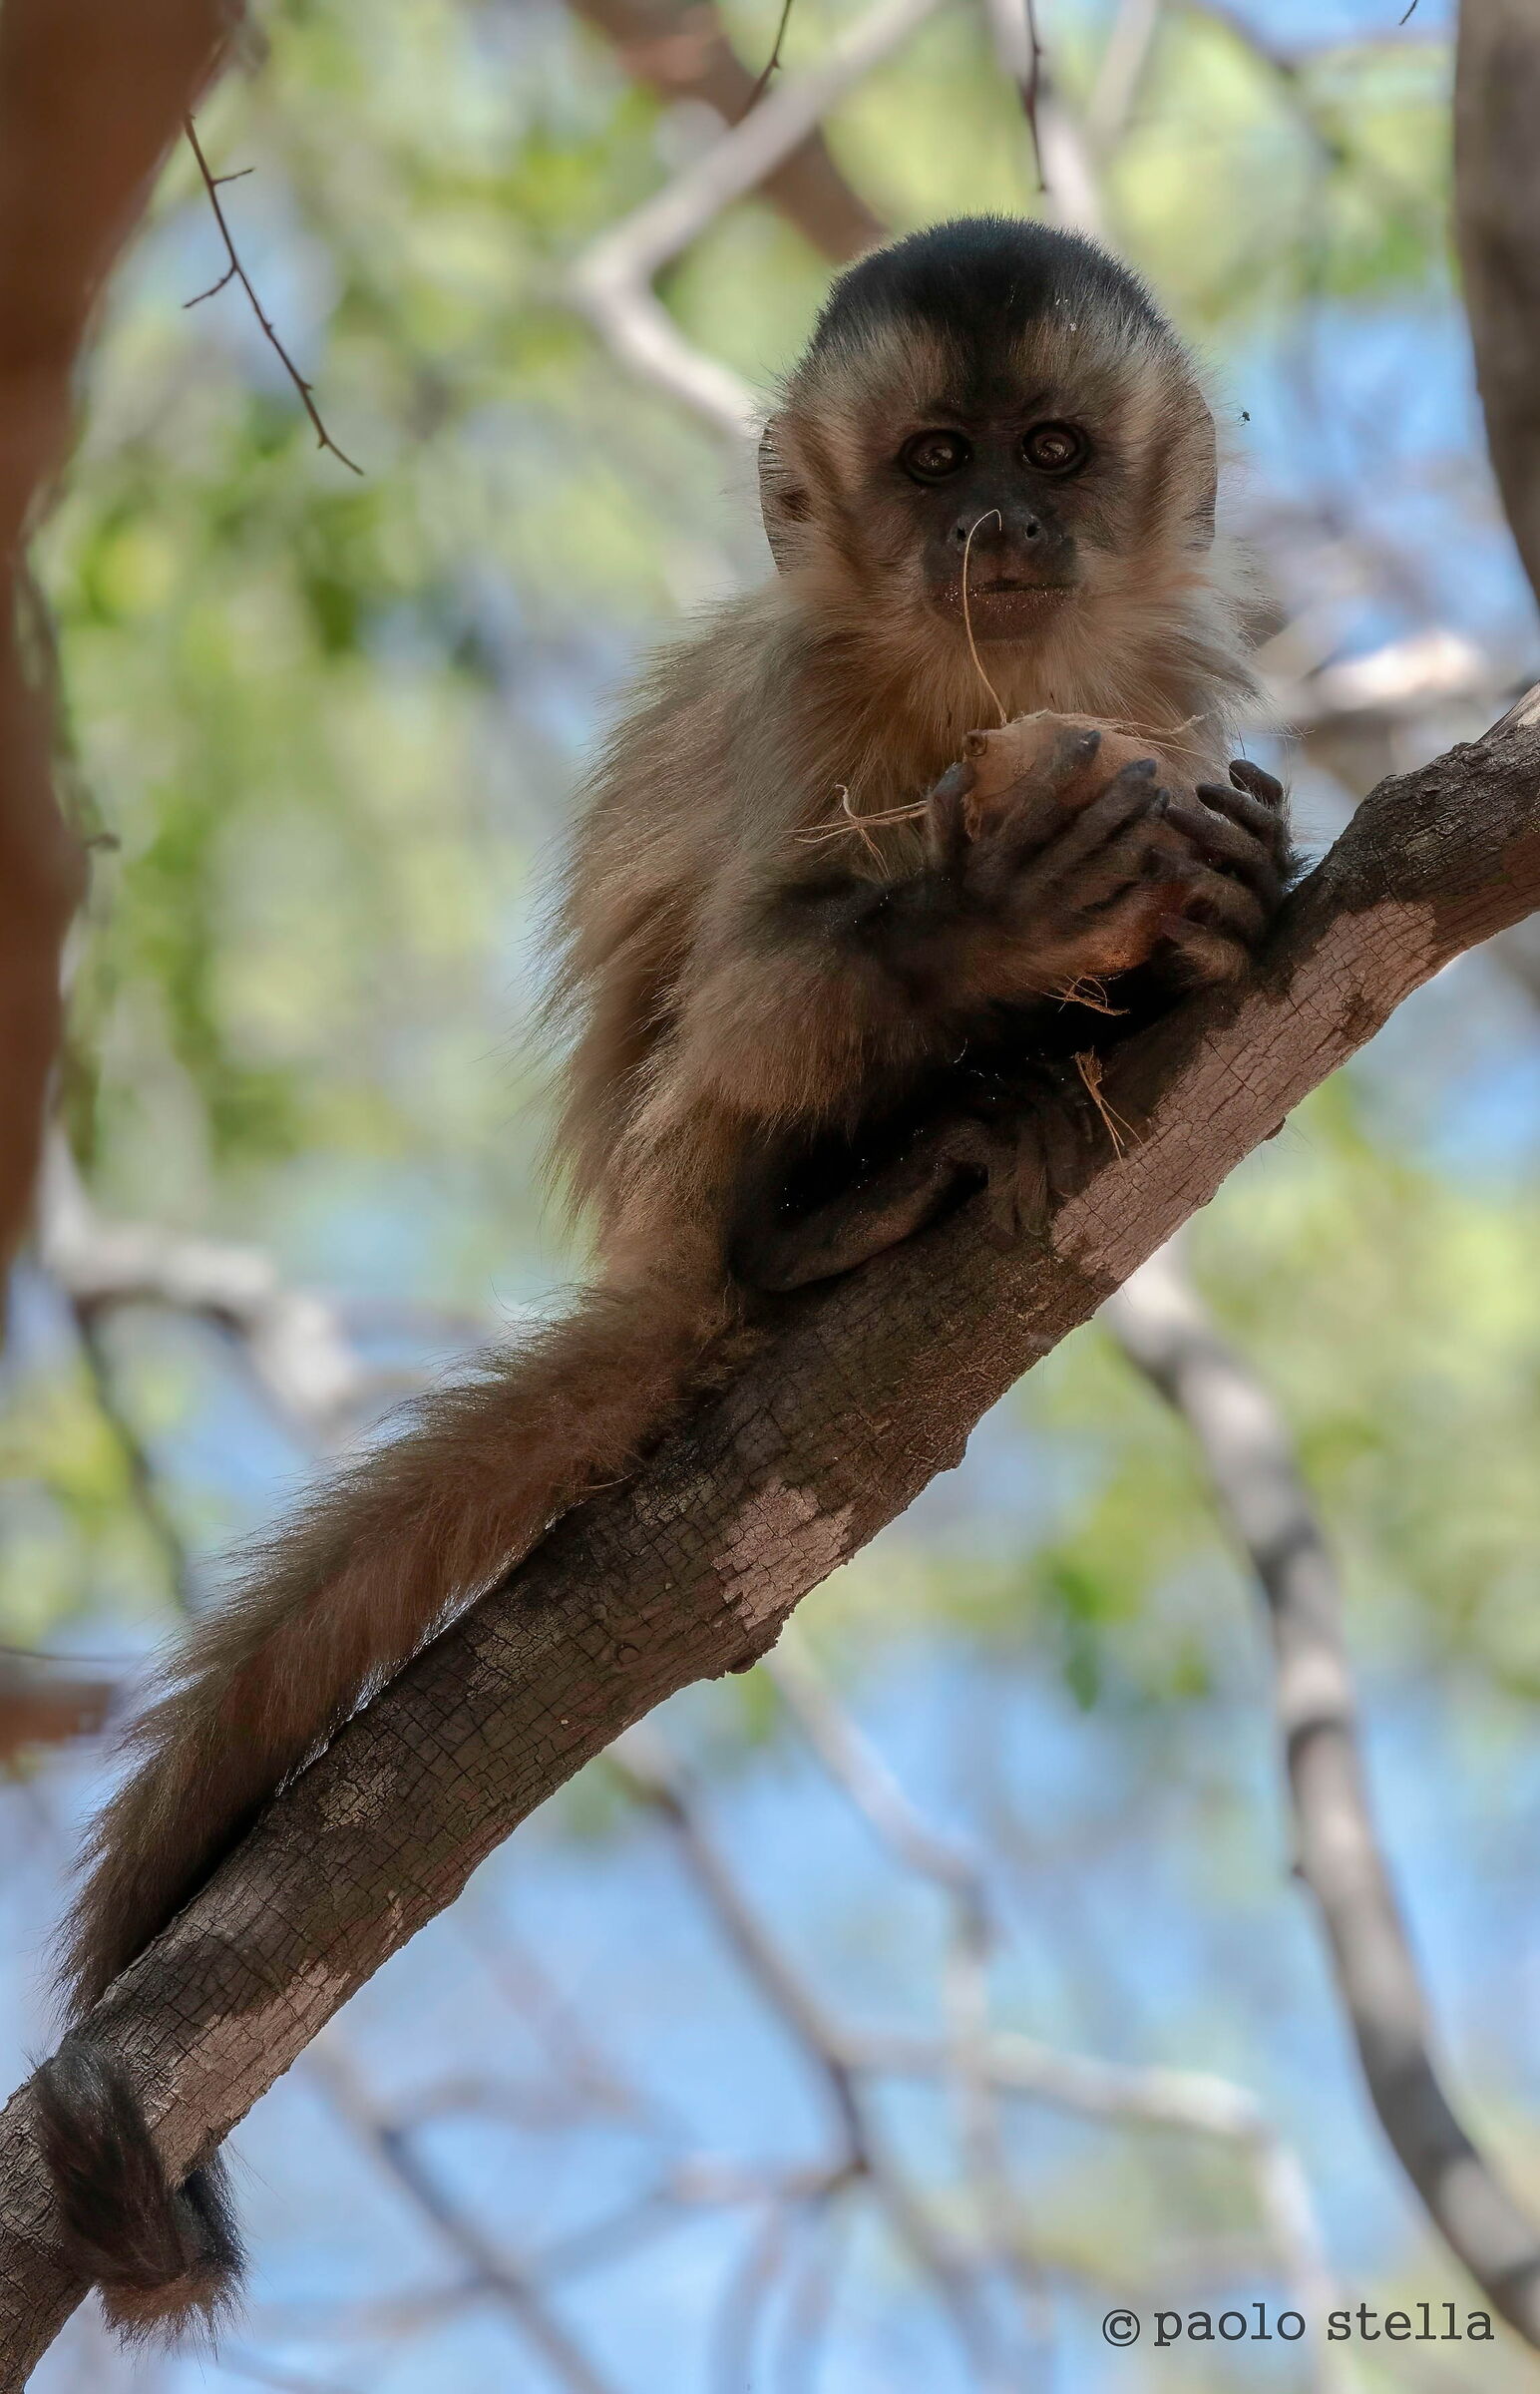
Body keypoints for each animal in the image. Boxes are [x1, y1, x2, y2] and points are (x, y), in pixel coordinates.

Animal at [36, 215, 1291, 2331]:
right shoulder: (809, 699)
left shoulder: (1164, 682)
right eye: (935, 462)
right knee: (739, 1034)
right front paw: (980, 928)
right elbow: (763, 975)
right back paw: (842, 1201)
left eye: (1048, 448)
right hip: (676, 1187)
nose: (1000, 526)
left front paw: (1221, 898)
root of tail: (668, 1269)